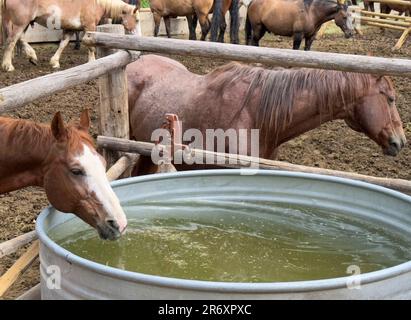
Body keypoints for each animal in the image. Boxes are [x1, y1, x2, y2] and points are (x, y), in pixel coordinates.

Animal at [0, 0, 141, 71]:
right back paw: (8, 66)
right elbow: (91, 47)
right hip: (20, 23)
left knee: (20, 39)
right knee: (11, 41)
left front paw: (55, 62)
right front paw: (92, 62)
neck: (97, 3)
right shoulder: (90, 27)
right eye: (137, 20)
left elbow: (63, 45)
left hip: (25, 23)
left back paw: (32, 57)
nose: (139, 36)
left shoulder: (70, 29)